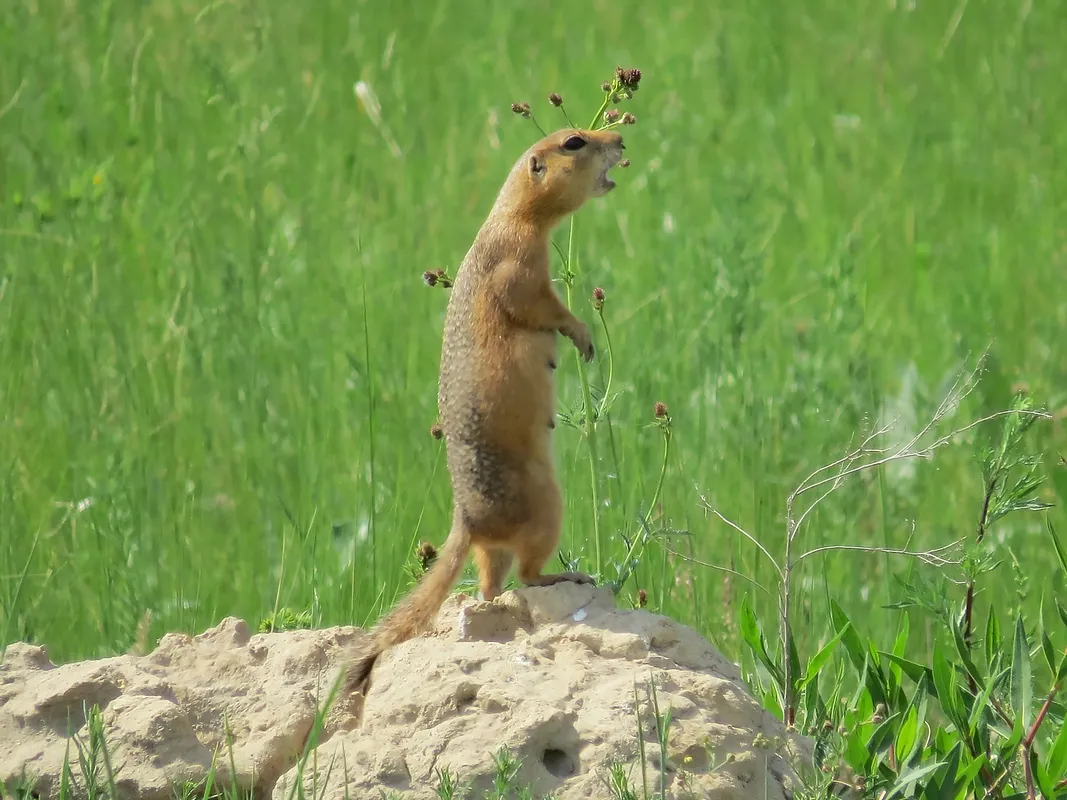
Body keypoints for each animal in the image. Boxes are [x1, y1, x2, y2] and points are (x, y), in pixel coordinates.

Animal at [341, 123, 623, 699]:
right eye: (574, 142)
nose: (622, 140)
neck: (515, 215)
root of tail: (467, 523)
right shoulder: (520, 264)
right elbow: (538, 303)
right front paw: (582, 335)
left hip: (494, 548)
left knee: (492, 586)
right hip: (547, 505)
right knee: (524, 575)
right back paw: (565, 575)